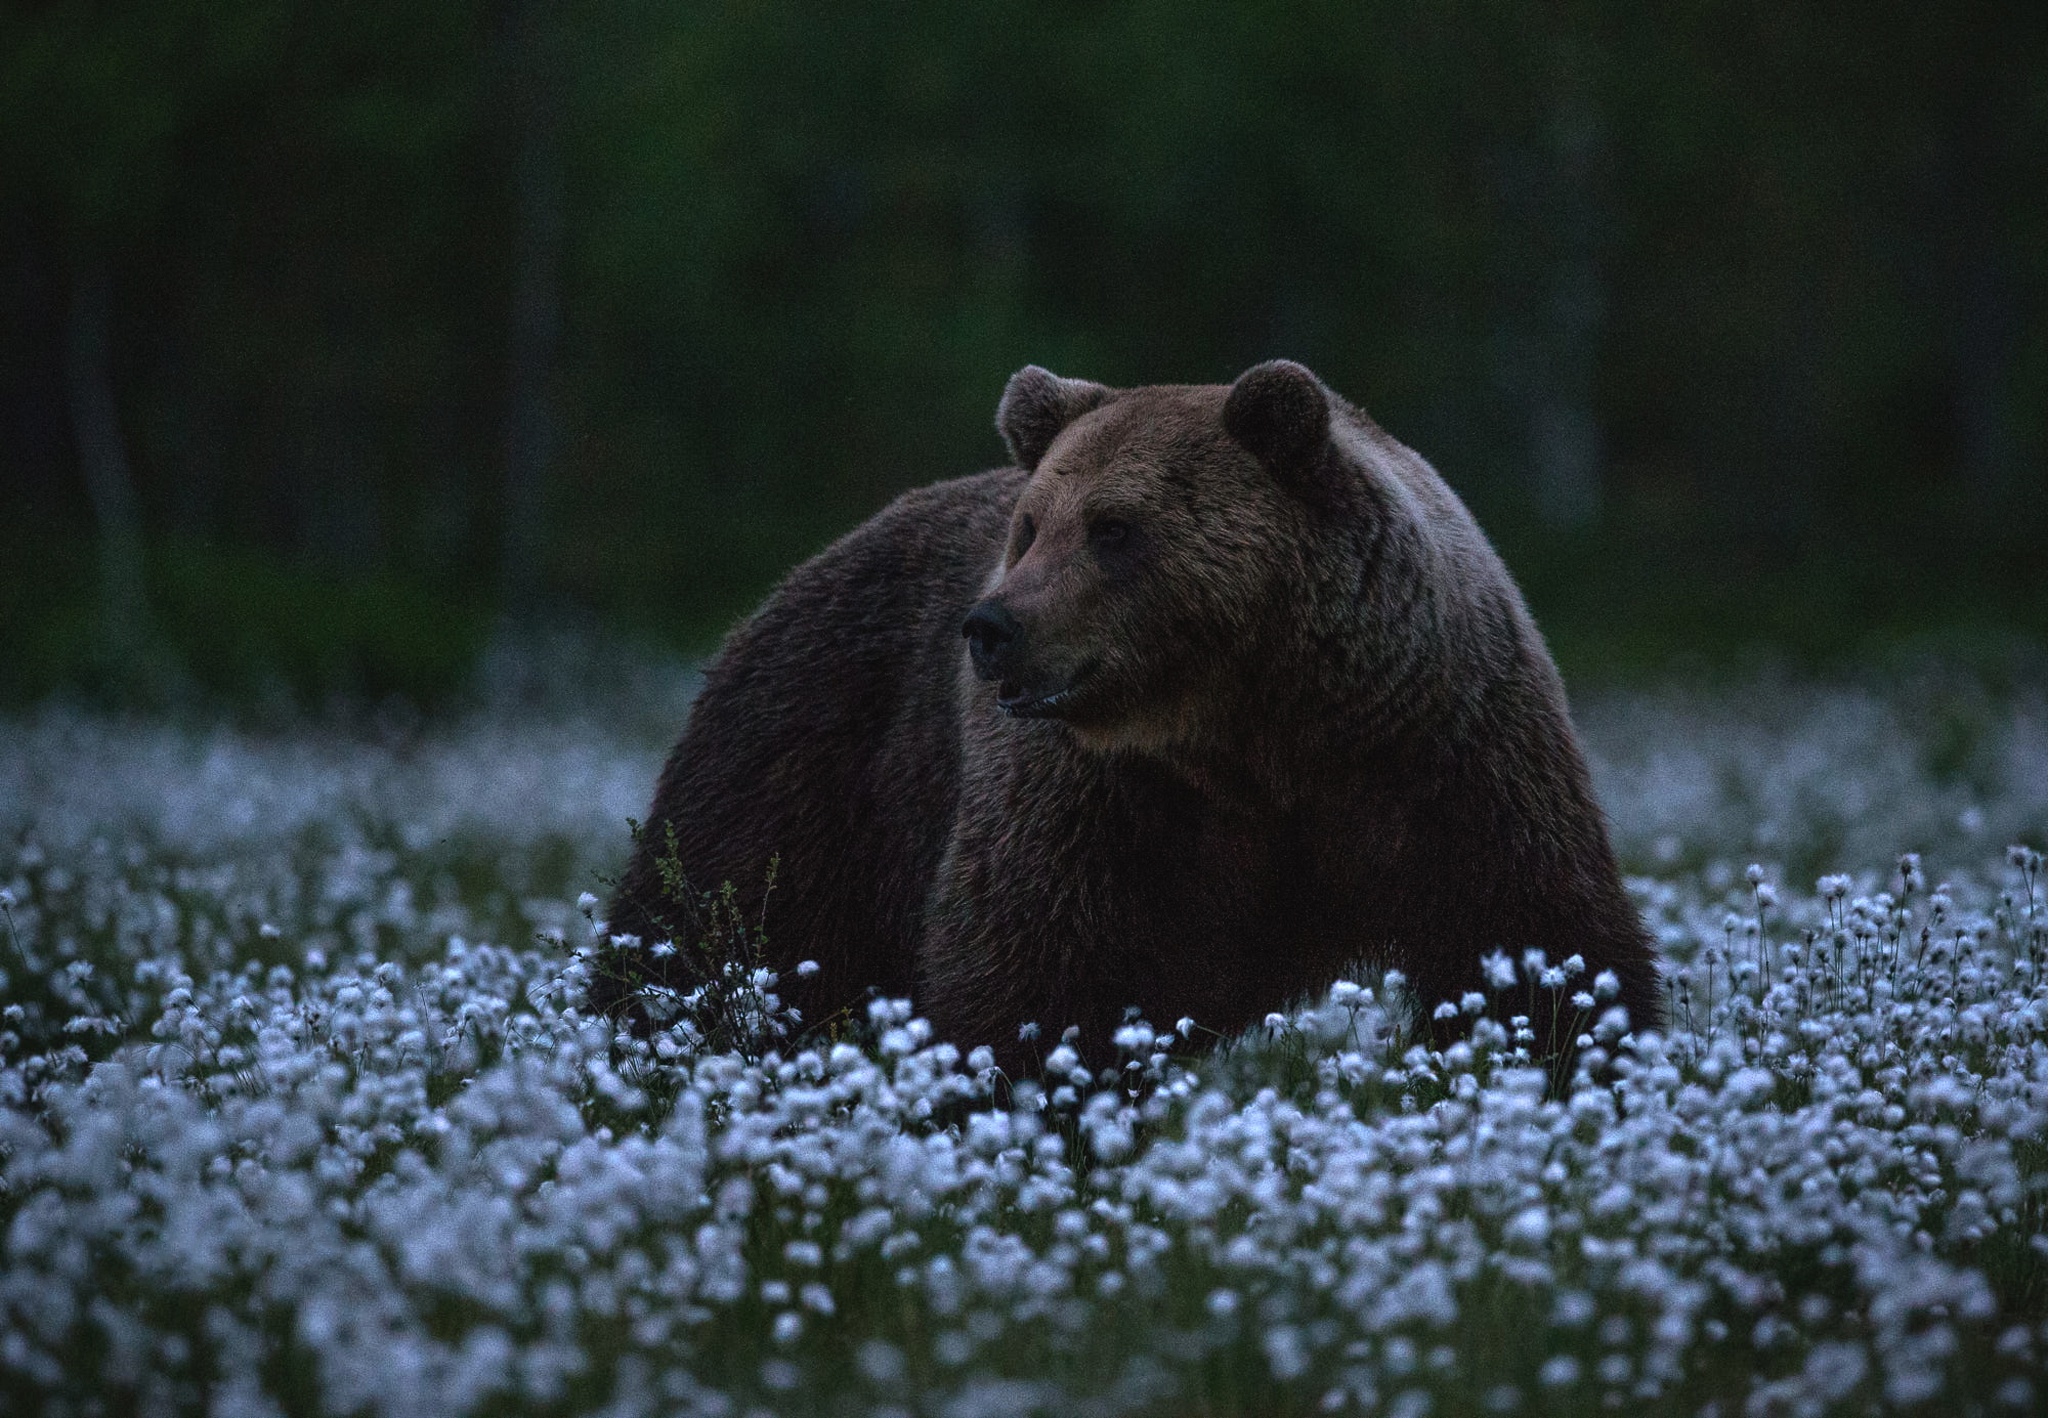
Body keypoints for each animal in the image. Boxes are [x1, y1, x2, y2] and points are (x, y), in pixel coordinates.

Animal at [598, 362, 1662, 1065]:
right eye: (1032, 526)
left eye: (1114, 528)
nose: (992, 627)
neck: (1261, 732)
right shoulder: (1099, 796)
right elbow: (1036, 971)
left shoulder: (1443, 746)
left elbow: (1532, 934)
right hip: (817, 746)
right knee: (718, 929)